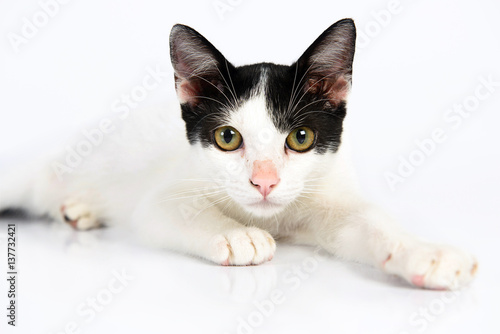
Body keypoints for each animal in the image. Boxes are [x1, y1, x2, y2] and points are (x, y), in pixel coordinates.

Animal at [0, 18, 476, 290]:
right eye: (228, 137)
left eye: (300, 137)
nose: (264, 181)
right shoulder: (164, 194)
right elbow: (173, 209)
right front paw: (235, 235)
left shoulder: (328, 194)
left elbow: (366, 222)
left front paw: (426, 254)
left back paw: (79, 209)